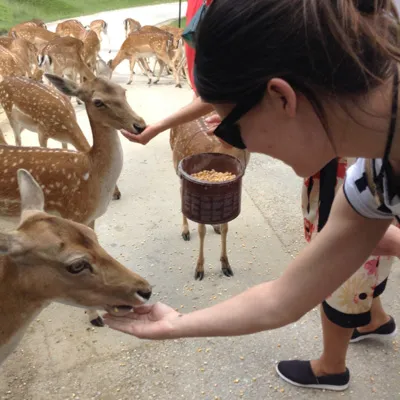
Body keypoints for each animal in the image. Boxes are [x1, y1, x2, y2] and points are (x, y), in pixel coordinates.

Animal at [0, 73, 145, 324]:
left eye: (122, 91)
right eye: (98, 102)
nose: (139, 125)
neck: (92, 177)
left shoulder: (89, 219)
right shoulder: (73, 212)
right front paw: (94, 316)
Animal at [170, 113, 250, 282]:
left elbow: (226, 228)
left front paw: (226, 266)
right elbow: (201, 231)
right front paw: (199, 270)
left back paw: (215, 226)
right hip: (176, 165)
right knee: (180, 191)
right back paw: (185, 232)